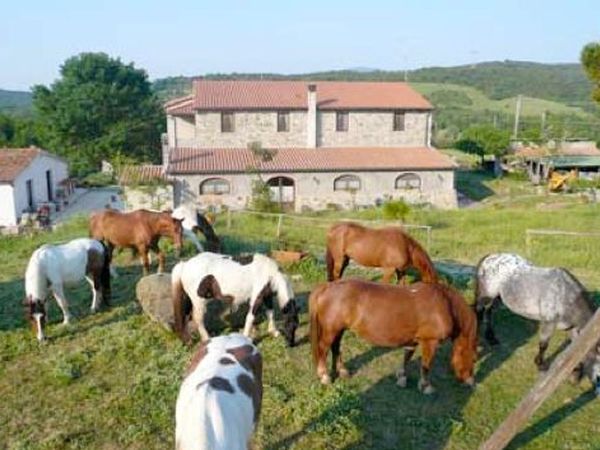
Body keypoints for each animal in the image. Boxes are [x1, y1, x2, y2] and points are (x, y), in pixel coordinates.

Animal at [310, 280, 478, 392]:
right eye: (473, 358)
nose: (470, 381)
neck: (445, 304)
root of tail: (327, 287)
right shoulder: (430, 342)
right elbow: (426, 365)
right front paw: (426, 386)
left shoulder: (413, 340)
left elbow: (407, 357)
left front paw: (402, 377)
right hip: (331, 330)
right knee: (323, 348)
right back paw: (324, 376)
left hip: (339, 330)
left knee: (335, 347)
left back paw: (342, 371)